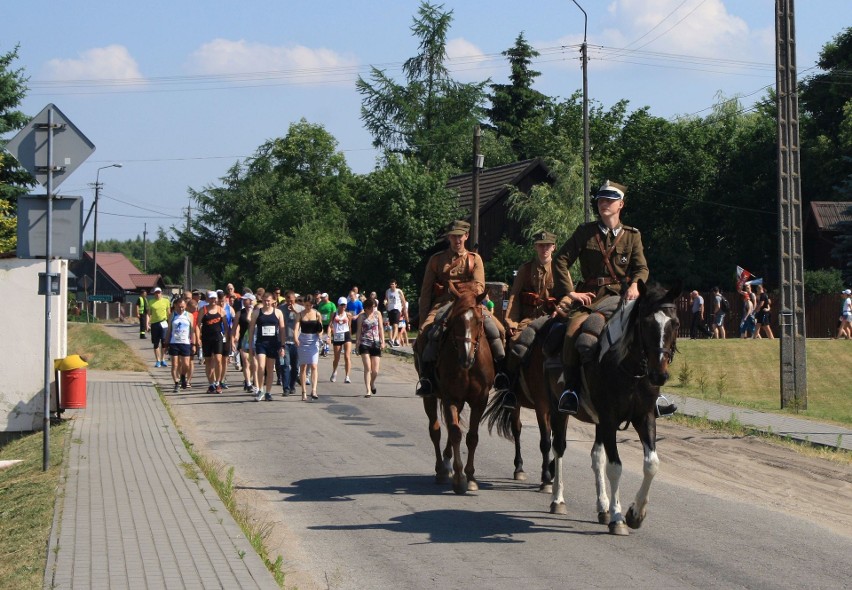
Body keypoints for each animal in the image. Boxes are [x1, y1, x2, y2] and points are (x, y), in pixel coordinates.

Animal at [418, 282, 496, 494]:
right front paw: (460, 478)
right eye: (454, 320)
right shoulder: (449, 397)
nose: (466, 358)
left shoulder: (479, 400)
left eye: (478, 320)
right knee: (436, 430)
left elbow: (471, 436)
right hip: (430, 397)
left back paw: (447, 464)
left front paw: (471, 477)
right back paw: (441, 470)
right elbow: (454, 433)